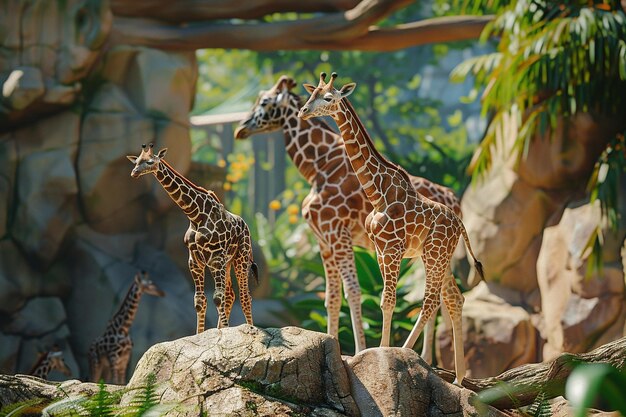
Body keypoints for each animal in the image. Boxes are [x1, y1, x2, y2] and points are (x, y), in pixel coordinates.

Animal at [127, 145, 256, 334]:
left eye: (150, 161)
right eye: (136, 161)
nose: (134, 173)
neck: (195, 215)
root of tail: (246, 225)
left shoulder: (216, 257)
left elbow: (217, 297)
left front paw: (224, 331)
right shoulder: (195, 260)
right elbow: (199, 300)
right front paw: (202, 333)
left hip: (241, 257)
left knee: (244, 295)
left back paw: (250, 327)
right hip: (226, 262)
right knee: (230, 294)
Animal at [234, 75, 458, 354]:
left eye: (264, 101)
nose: (240, 129)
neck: (317, 165)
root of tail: (455, 199)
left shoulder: (337, 231)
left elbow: (352, 291)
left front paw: (360, 350)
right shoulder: (323, 238)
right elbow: (331, 297)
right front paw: (331, 342)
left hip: (429, 253)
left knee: (442, 295)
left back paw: (426, 357)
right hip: (431, 255)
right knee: (448, 296)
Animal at [298, 71, 482, 384]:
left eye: (329, 97)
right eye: (311, 94)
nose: (303, 111)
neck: (377, 192)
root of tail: (460, 223)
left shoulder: (391, 248)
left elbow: (388, 300)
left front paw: (384, 355)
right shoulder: (380, 250)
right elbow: (386, 301)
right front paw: (380, 352)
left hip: (434, 254)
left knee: (430, 301)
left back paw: (412, 354)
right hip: (438, 256)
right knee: (454, 298)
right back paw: (457, 378)